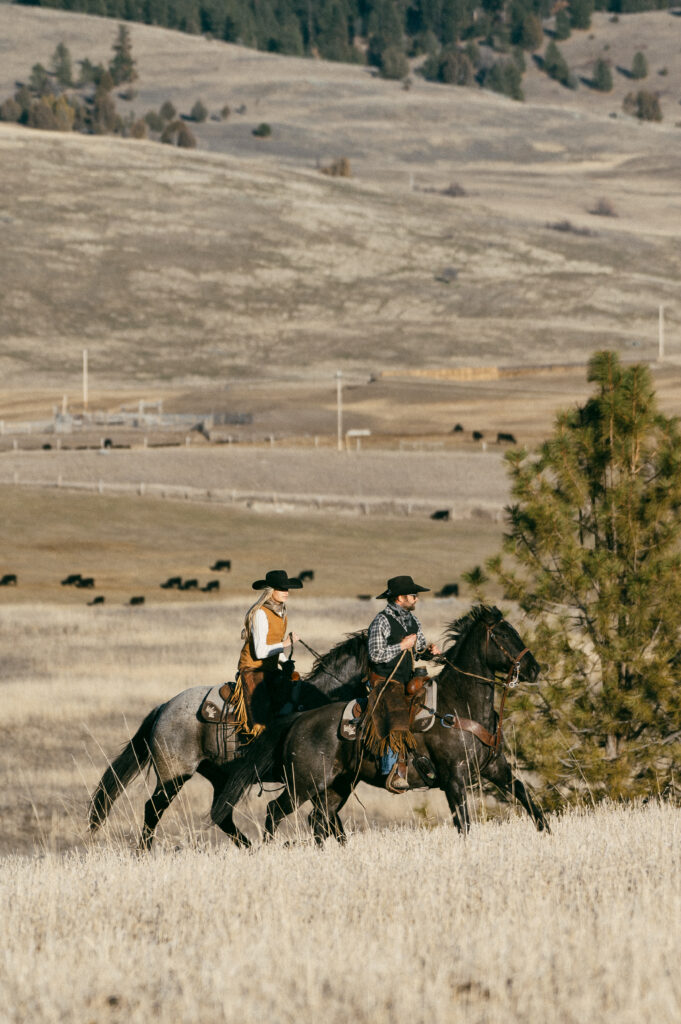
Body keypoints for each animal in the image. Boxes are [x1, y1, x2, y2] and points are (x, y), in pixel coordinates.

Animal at [88, 630, 372, 847]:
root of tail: (165, 707)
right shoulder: (312, 777)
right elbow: (329, 819)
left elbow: (331, 820)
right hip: (174, 775)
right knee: (153, 809)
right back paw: (144, 852)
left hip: (218, 775)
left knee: (221, 815)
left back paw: (249, 848)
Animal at [213, 606, 552, 839]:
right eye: (502, 635)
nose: (534, 668)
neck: (459, 705)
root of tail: (299, 719)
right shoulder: (453, 778)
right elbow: (464, 823)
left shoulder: (496, 768)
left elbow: (526, 796)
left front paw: (546, 832)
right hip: (303, 783)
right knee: (276, 812)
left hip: (337, 785)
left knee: (319, 821)